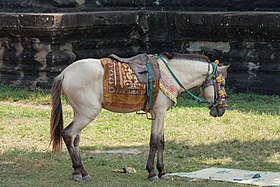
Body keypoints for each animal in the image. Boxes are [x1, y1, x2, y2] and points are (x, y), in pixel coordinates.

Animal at [49, 52, 230, 181]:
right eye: (222, 84)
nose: (221, 109)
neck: (171, 74)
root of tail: (64, 73)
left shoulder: (160, 114)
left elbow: (161, 141)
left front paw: (162, 171)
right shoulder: (159, 112)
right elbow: (155, 141)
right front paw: (152, 173)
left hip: (79, 112)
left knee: (75, 140)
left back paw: (80, 171)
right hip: (87, 113)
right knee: (68, 134)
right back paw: (79, 171)